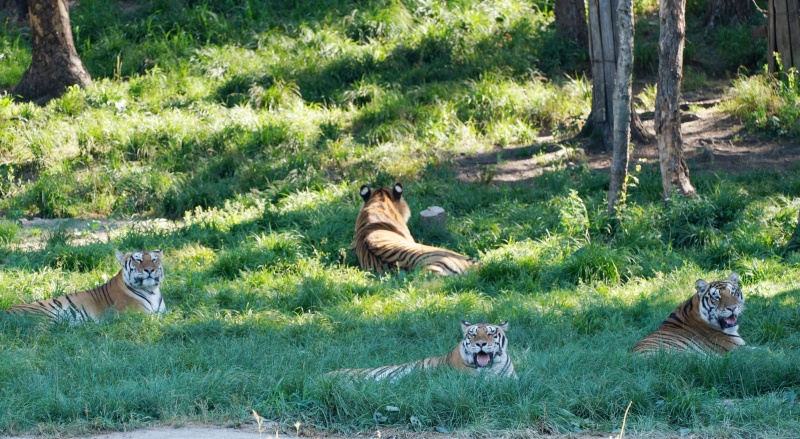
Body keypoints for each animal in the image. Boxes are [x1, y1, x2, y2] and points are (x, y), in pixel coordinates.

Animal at [5, 249, 166, 323]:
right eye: (138, 260)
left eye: (154, 260)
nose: (149, 270)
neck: (151, 291)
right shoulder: (137, 315)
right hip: (44, 316)